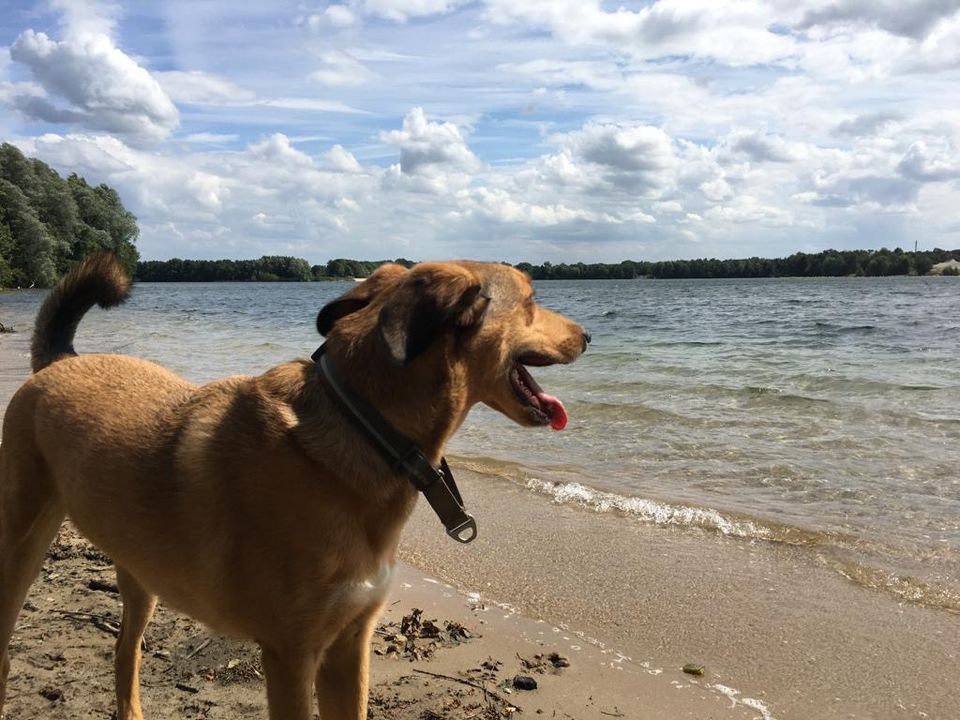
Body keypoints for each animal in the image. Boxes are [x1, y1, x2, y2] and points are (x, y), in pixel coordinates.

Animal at [0, 250, 588, 716]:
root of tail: (56, 364)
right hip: (20, 550)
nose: (588, 336)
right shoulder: (291, 656)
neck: (365, 426)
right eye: (531, 300)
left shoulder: (348, 648)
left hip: (141, 574)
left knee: (125, 656)